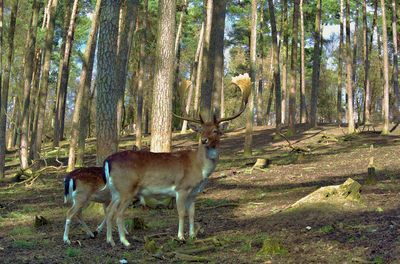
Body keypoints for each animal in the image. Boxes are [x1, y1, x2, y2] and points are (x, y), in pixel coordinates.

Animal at [104, 73, 252, 245]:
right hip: (127, 188)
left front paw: (193, 235)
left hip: (115, 191)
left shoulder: (194, 193)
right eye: (201, 130)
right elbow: (181, 213)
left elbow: (193, 213)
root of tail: (107, 161)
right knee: (119, 213)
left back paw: (110, 240)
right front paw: (180, 236)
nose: (204, 140)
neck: (199, 170)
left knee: (109, 210)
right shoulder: (181, 188)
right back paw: (124, 241)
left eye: (215, 131)